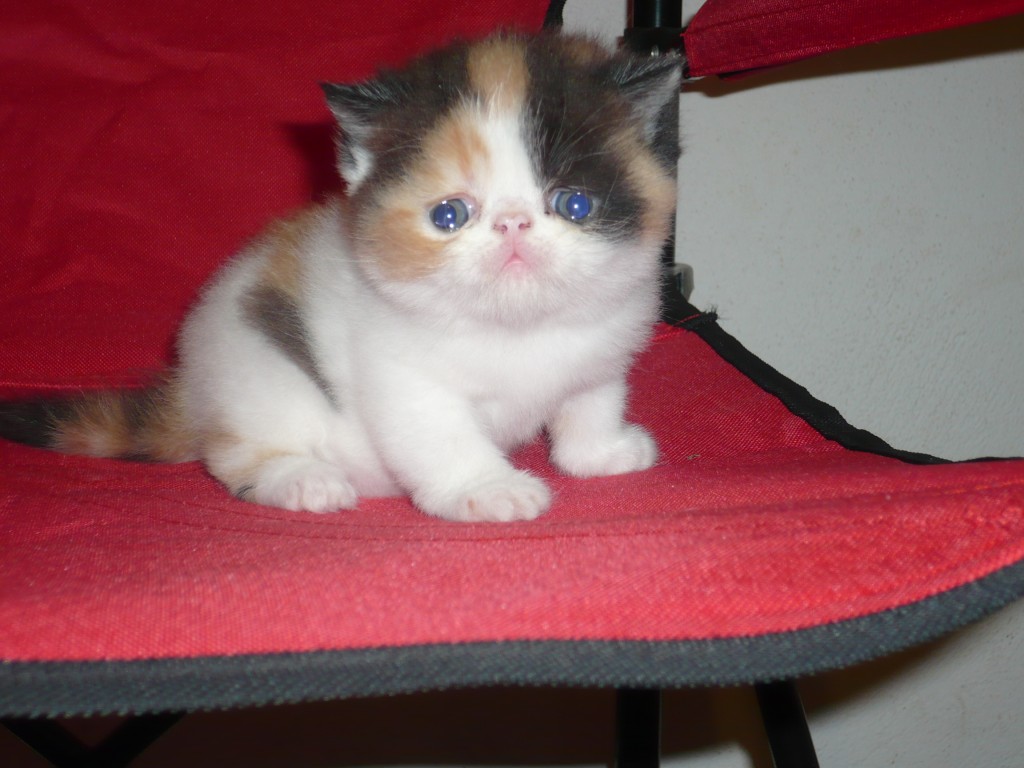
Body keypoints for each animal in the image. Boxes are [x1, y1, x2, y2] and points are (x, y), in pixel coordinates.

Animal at [0, 30, 679, 524]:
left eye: (575, 204)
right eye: (449, 216)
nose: (513, 225)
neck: (516, 326)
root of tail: (190, 390)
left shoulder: (601, 351)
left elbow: (590, 404)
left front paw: (600, 455)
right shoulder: (403, 377)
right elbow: (441, 434)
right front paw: (488, 489)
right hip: (258, 374)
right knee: (233, 451)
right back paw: (301, 480)